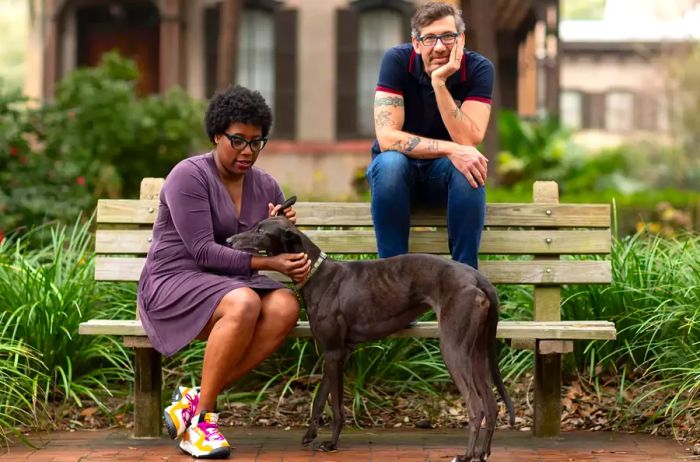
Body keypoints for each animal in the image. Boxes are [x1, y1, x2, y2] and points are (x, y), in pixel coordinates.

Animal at [227, 217, 516, 462]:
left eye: (261, 231)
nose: (228, 241)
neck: (317, 273)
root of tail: (477, 277)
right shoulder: (336, 352)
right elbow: (320, 399)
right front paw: (310, 435)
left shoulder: (334, 352)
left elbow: (336, 407)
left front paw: (330, 444)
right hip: (478, 351)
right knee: (491, 405)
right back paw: (482, 453)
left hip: (453, 347)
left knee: (476, 406)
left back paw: (466, 455)